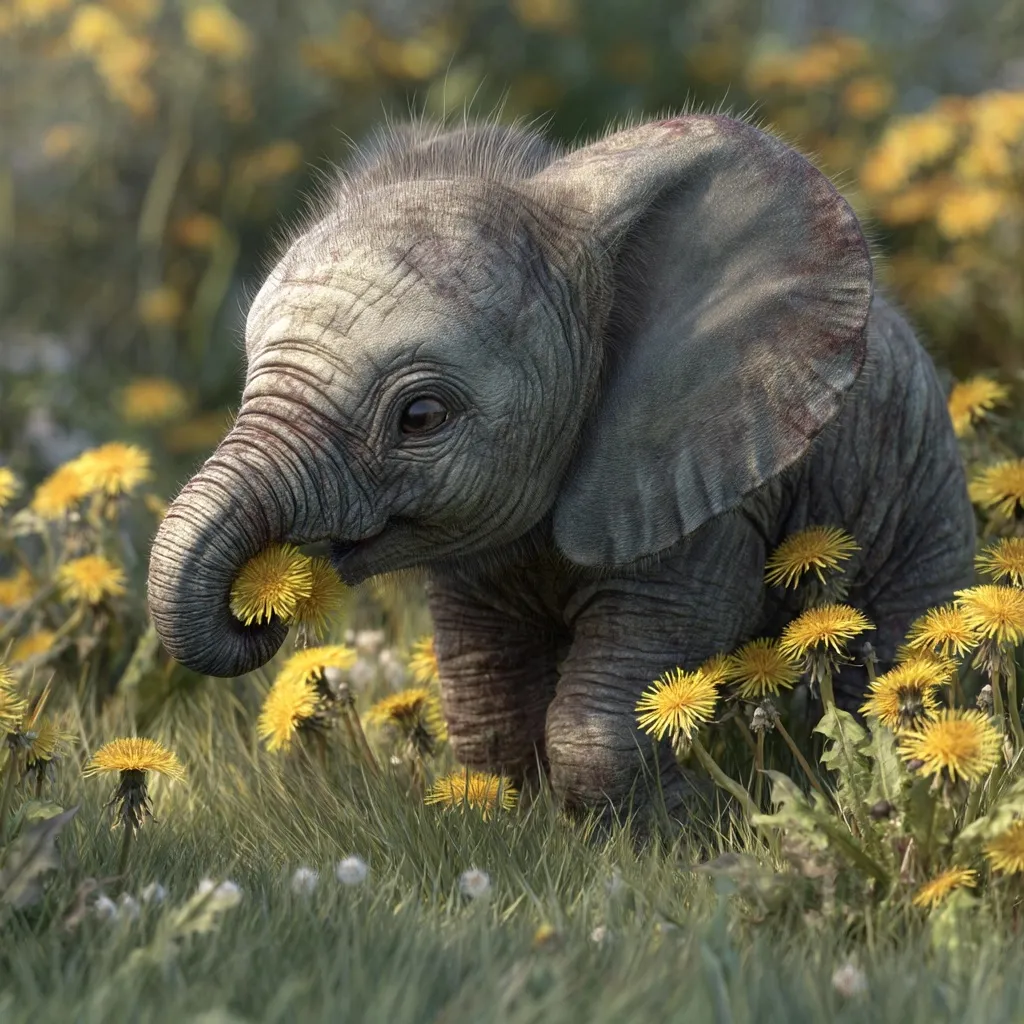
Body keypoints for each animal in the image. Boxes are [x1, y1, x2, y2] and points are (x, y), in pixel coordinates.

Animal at [147, 113, 976, 821]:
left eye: (420, 417)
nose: (263, 607)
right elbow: (486, 704)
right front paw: (516, 821)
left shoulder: (706, 485)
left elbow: (642, 668)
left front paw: (688, 833)